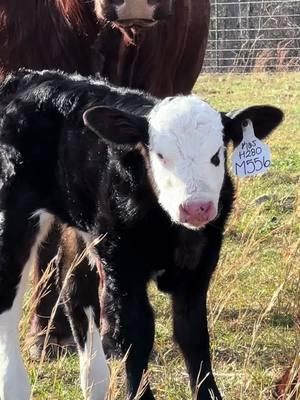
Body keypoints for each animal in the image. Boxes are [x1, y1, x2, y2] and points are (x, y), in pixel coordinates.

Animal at [0, 69, 284, 400]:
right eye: (160, 156)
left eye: (217, 155)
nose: (196, 207)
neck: (171, 232)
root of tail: (27, 77)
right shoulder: (122, 266)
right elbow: (136, 335)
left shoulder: (199, 267)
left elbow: (193, 336)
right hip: (13, 213)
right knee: (8, 302)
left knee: (75, 289)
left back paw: (95, 384)